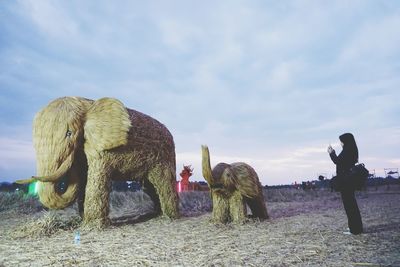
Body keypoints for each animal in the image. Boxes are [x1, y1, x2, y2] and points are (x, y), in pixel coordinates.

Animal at [17, 97, 179, 229]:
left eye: (69, 133)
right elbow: (83, 178)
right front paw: (83, 221)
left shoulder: (102, 151)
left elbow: (95, 181)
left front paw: (94, 225)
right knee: (150, 187)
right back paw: (158, 213)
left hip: (164, 157)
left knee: (163, 183)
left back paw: (171, 216)